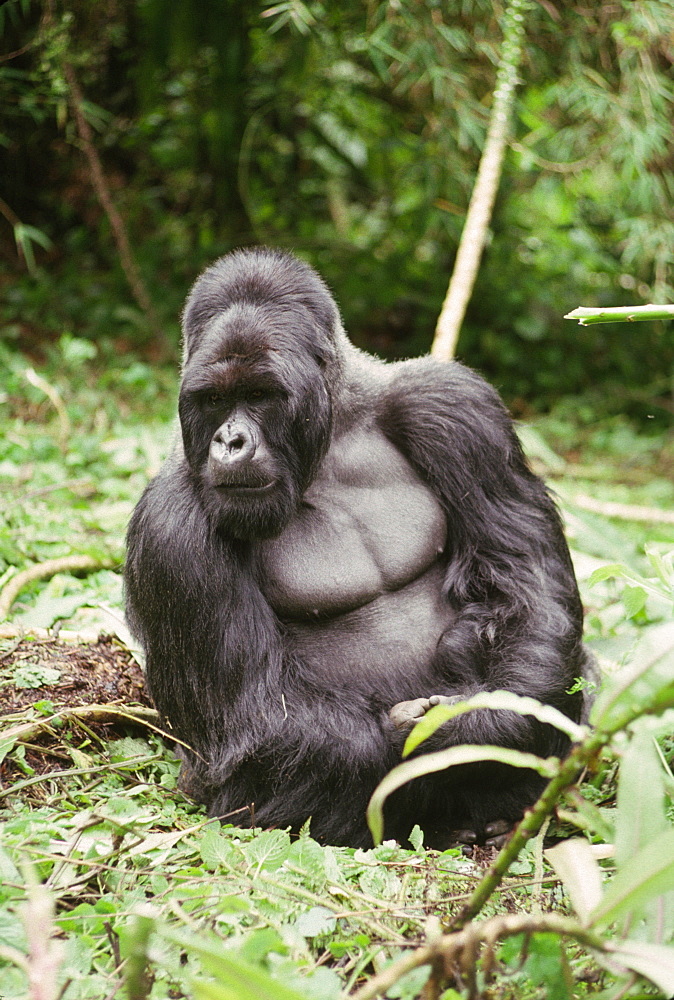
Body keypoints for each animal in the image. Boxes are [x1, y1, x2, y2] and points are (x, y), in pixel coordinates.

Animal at [126, 246, 588, 848]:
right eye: (214, 399)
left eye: (259, 395)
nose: (230, 442)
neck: (330, 436)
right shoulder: (171, 525)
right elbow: (254, 714)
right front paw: (438, 736)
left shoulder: (455, 407)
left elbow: (528, 583)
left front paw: (484, 721)